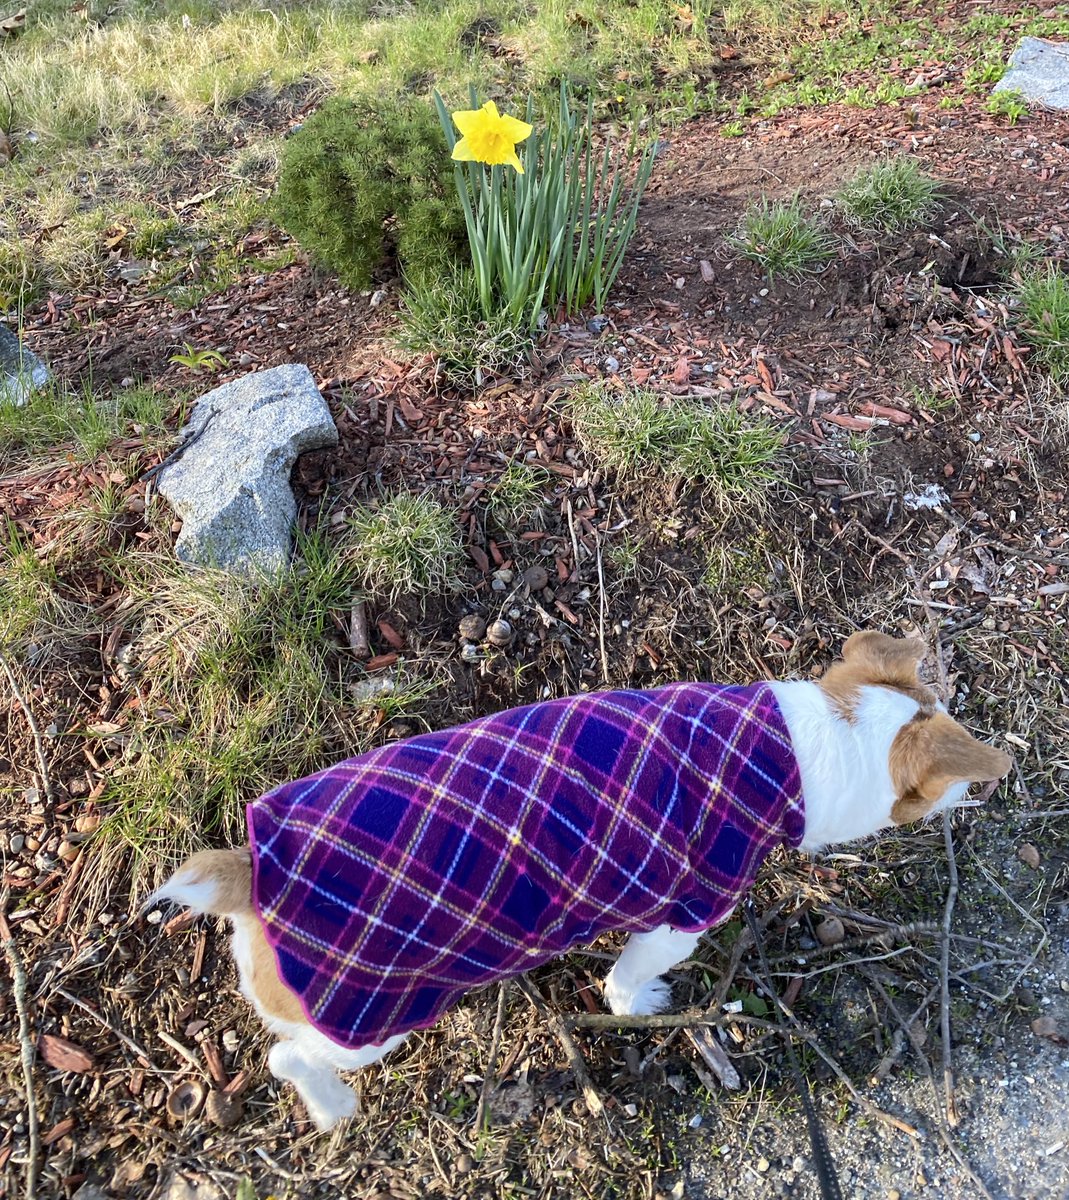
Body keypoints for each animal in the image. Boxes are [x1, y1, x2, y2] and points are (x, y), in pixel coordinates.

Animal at [150, 633, 1012, 1128]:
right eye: (948, 781)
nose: (976, 798)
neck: (798, 746)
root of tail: (251, 869)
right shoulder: (683, 915)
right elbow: (627, 977)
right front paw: (640, 1006)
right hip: (368, 1020)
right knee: (286, 1061)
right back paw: (332, 1108)